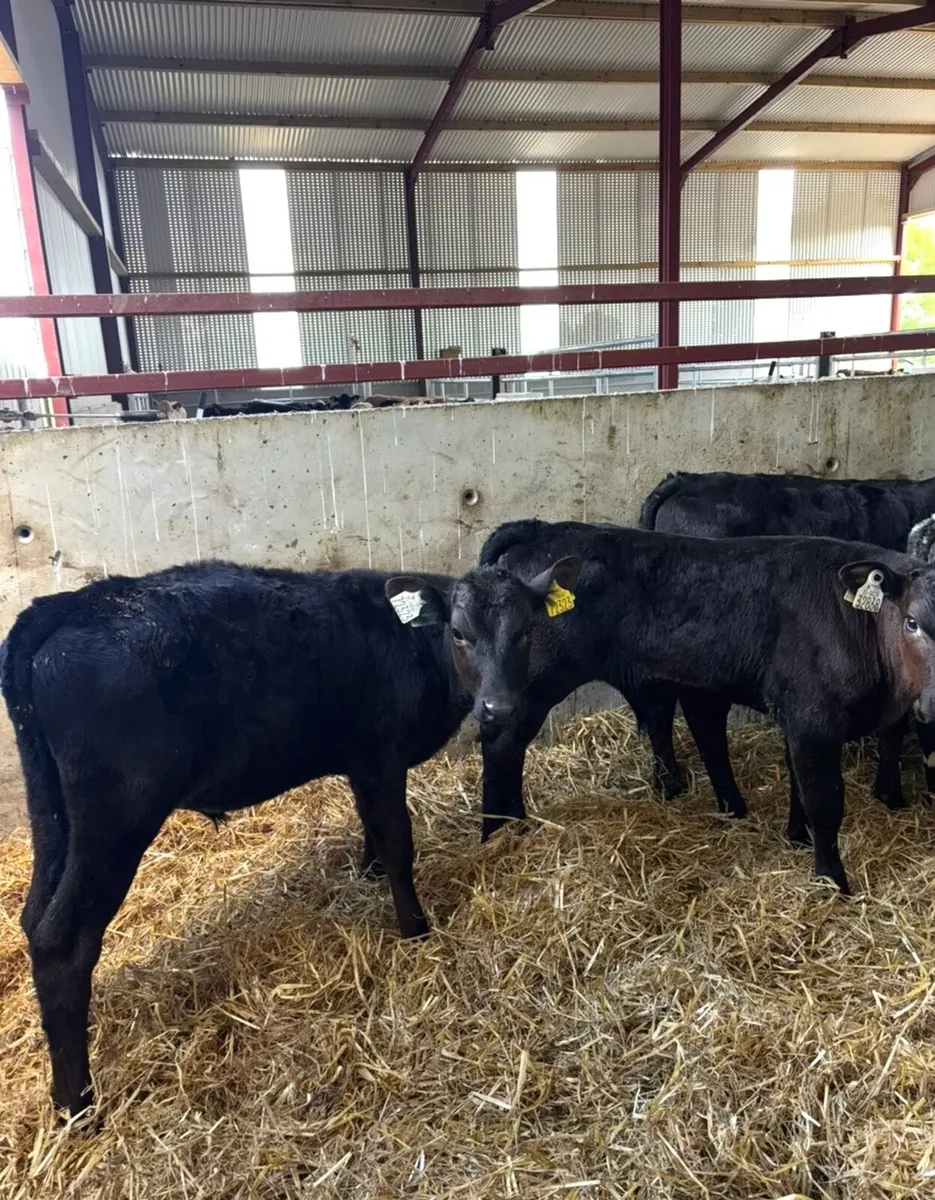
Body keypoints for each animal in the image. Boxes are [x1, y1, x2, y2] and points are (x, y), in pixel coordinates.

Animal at [2, 555, 577, 1117]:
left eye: (527, 630)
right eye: (458, 632)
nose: (499, 708)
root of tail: (68, 604)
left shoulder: (361, 765)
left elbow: (372, 829)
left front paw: (368, 874)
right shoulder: (380, 755)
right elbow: (397, 841)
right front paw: (415, 928)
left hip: (54, 815)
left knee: (34, 917)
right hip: (117, 815)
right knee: (62, 938)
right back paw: (77, 1103)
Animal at [470, 518, 935, 901]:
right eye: (911, 622)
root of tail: (540, 528)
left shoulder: (795, 714)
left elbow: (799, 789)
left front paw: (796, 837)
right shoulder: (814, 718)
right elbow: (825, 800)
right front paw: (832, 881)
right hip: (532, 684)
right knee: (501, 746)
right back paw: (498, 832)